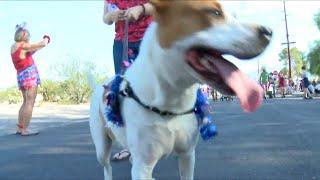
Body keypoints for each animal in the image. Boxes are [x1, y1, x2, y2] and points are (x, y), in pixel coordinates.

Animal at [89, 0, 272, 179]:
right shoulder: (143, 166)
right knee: (107, 167)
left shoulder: (187, 156)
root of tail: (100, 86)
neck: (172, 100)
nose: (269, 31)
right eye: (214, 12)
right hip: (102, 149)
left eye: (234, 16)